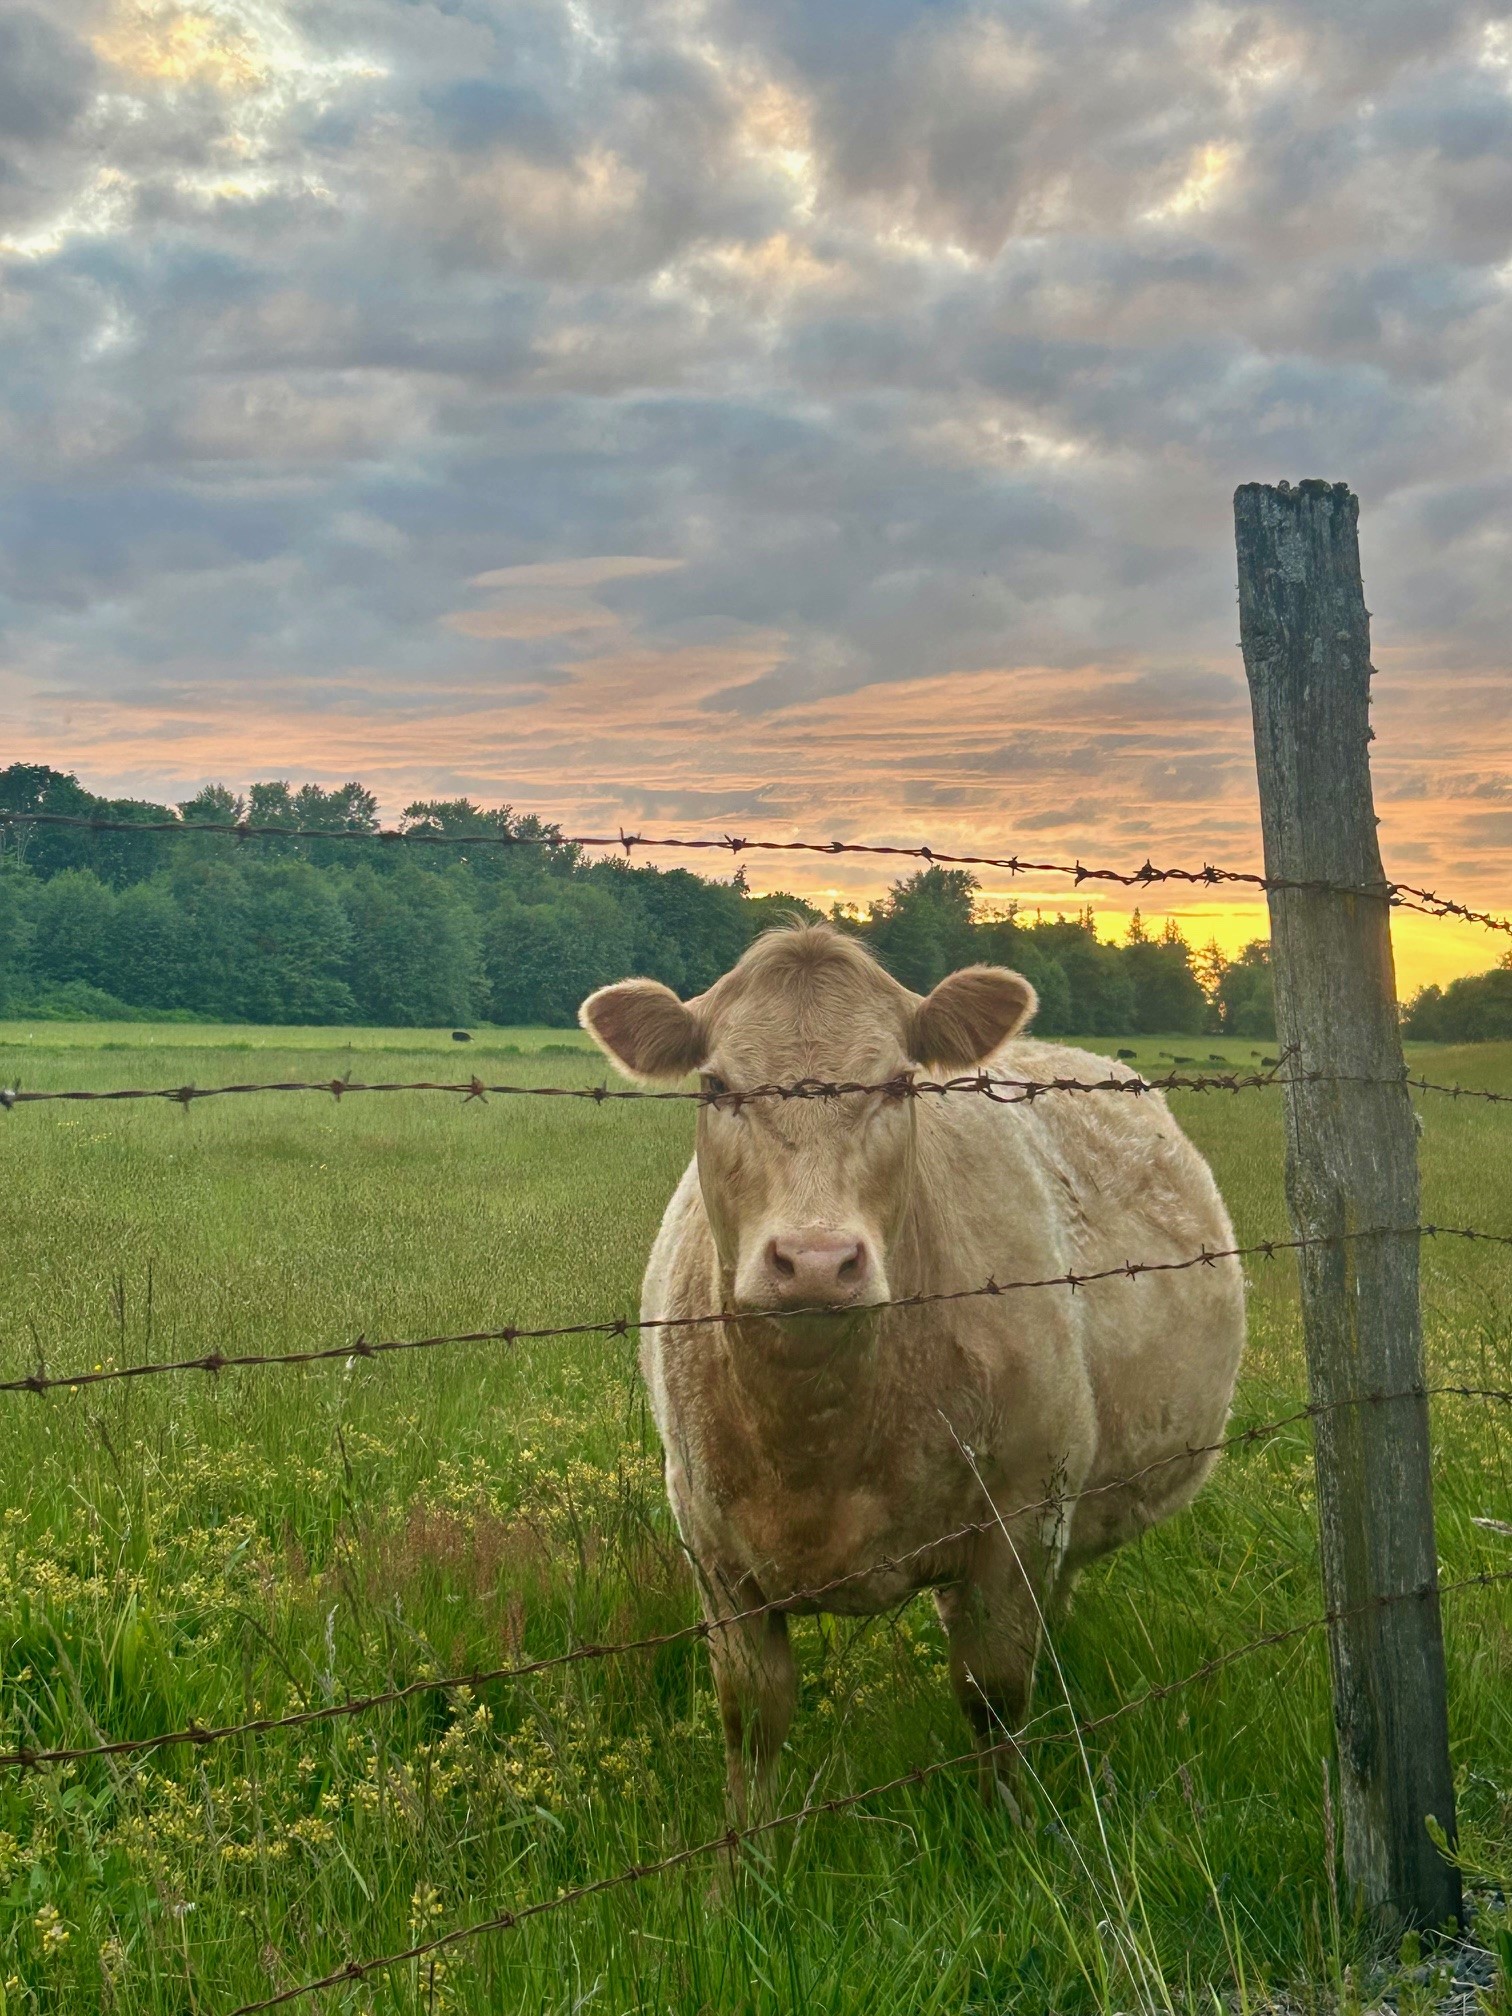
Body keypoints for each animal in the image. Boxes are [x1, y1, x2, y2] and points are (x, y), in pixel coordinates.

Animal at [580, 923, 1244, 1821]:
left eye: (899, 1083)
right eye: (716, 1086)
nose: (816, 1262)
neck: (816, 1440)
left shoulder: (1023, 1512)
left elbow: (993, 1691)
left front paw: (1010, 1824)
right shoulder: (710, 1545)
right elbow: (751, 1715)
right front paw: (748, 1849)